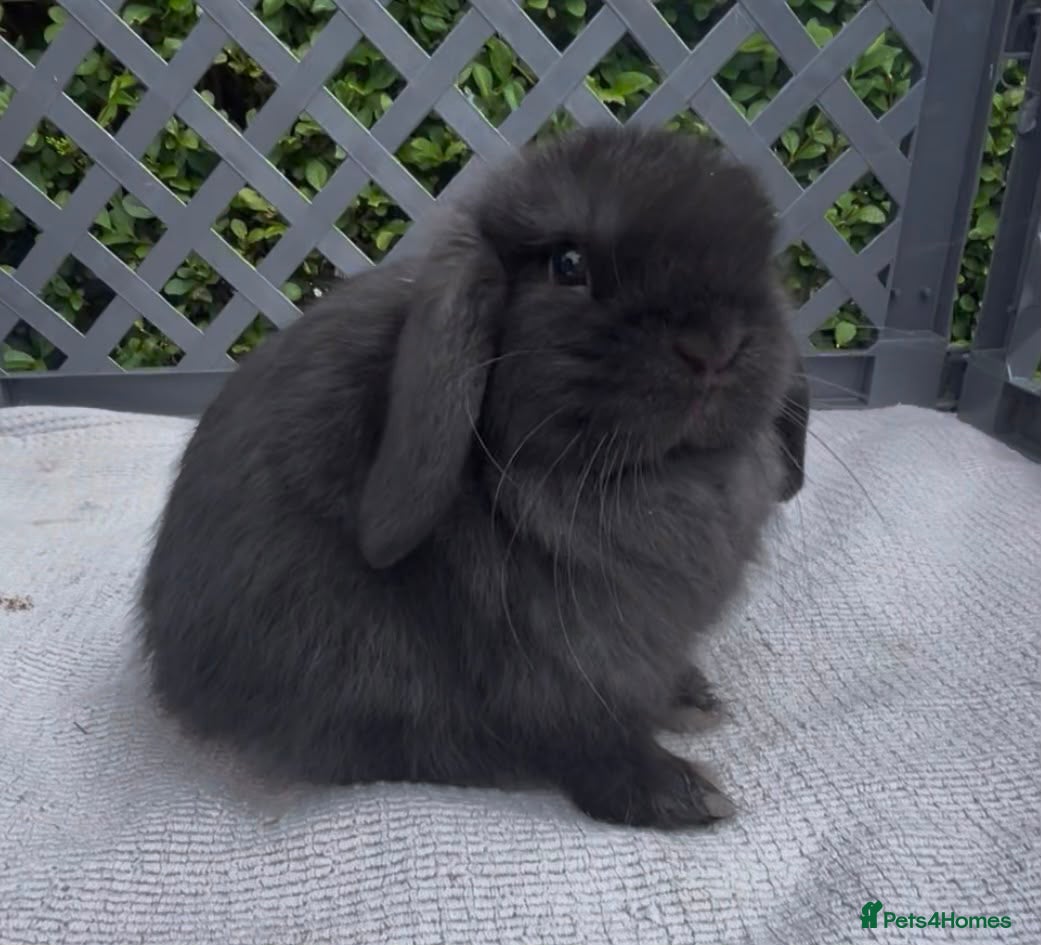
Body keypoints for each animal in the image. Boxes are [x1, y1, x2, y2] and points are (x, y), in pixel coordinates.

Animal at [138, 123, 809, 830]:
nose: (714, 347)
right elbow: (584, 736)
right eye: (568, 264)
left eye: (760, 262)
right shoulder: (549, 666)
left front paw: (691, 697)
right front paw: (679, 793)